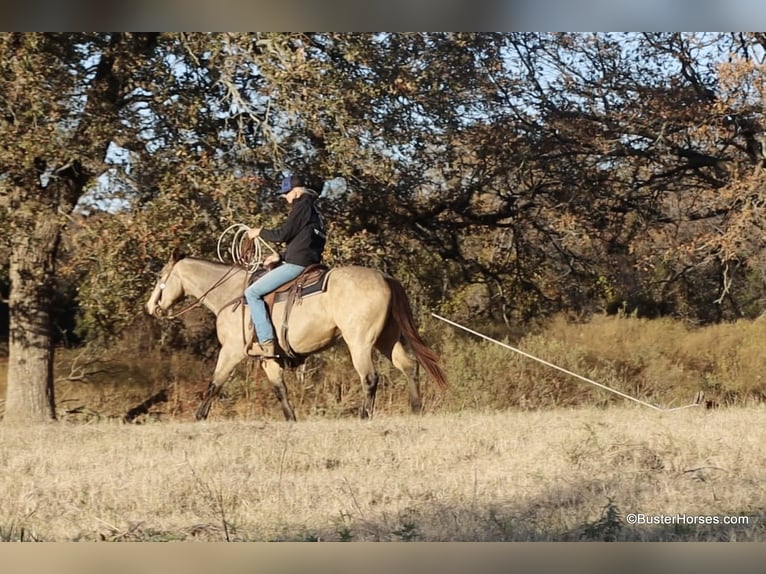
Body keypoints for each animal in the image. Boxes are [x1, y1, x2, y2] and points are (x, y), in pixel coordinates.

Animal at [144, 252, 450, 424]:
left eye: (160, 275)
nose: (151, 307)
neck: (232, 294)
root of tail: (384, 277)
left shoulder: (230, 351)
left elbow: (214, 384)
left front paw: (198, 417)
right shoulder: (268, 359)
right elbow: (280, 389)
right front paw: (291, 419)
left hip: (360, 343)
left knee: (370, 378)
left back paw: (365, 415)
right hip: (388, 339)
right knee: (410, 367)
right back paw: (416, 409)